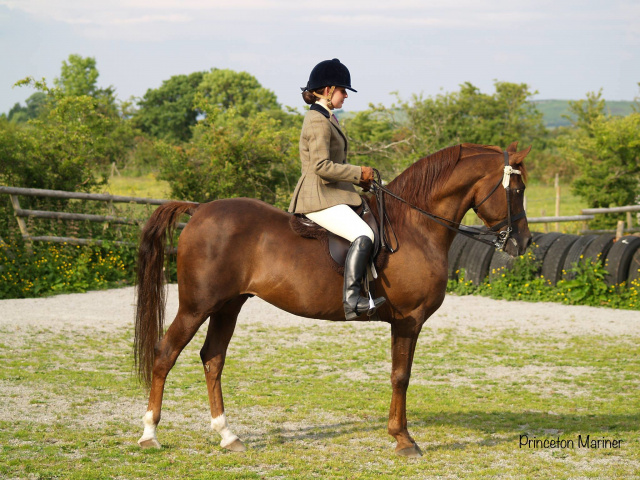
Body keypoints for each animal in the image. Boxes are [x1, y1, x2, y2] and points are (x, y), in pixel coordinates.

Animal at [134, 141, 528, 456]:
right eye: (517, 189)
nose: (521, 243)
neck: (415, 226)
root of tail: (199, 209)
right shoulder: (408, 320)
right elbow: (401, 376)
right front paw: (403, 440)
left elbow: (399, 375)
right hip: (197, 306)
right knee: (165, 353)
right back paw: (149, 434)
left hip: (229, 305)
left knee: (212, 359)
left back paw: (228, 436)